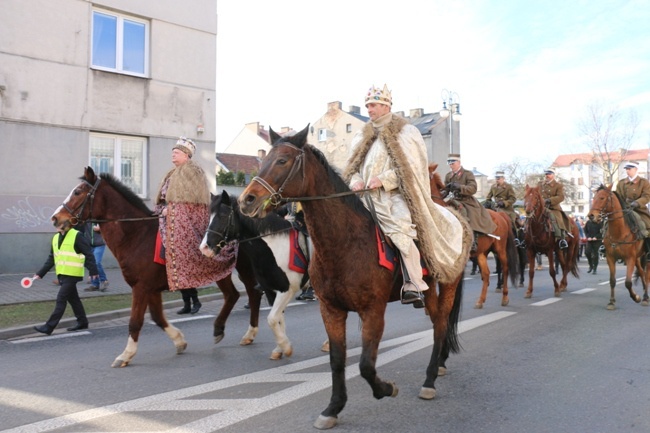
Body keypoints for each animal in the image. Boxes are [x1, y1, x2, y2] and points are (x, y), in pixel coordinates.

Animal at [50, 167, 264, 366]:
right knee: (233, 295)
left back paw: (247, 332)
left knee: (251, 294)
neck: (137, 235)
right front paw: (179, 341)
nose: (56, 218)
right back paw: (222, 329)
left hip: (242, 269)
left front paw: (126, 354)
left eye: (78, 192)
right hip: (224, 273)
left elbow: (135, 321)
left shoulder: (141, 287)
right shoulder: (151, 289)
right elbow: (157, 317)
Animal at [238, 125, 466, 428]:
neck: (345, 243)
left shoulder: (373, 310)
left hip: (447, 282)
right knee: (436, 321)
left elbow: (366, 365)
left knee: (441, 323)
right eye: (263, 160)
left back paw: (429, 381)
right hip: (428, 289)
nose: (246, 200)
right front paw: (333, 408)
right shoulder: (331, 309)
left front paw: (385, 389)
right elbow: (338, 360)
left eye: (282, 161)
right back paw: (438, 366)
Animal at [426, 162, 516, 308]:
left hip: (500, 249)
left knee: (505, 269)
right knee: (486, 274)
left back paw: (505, 297)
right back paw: (480, 300)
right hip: (481, 253)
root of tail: (500, 215)